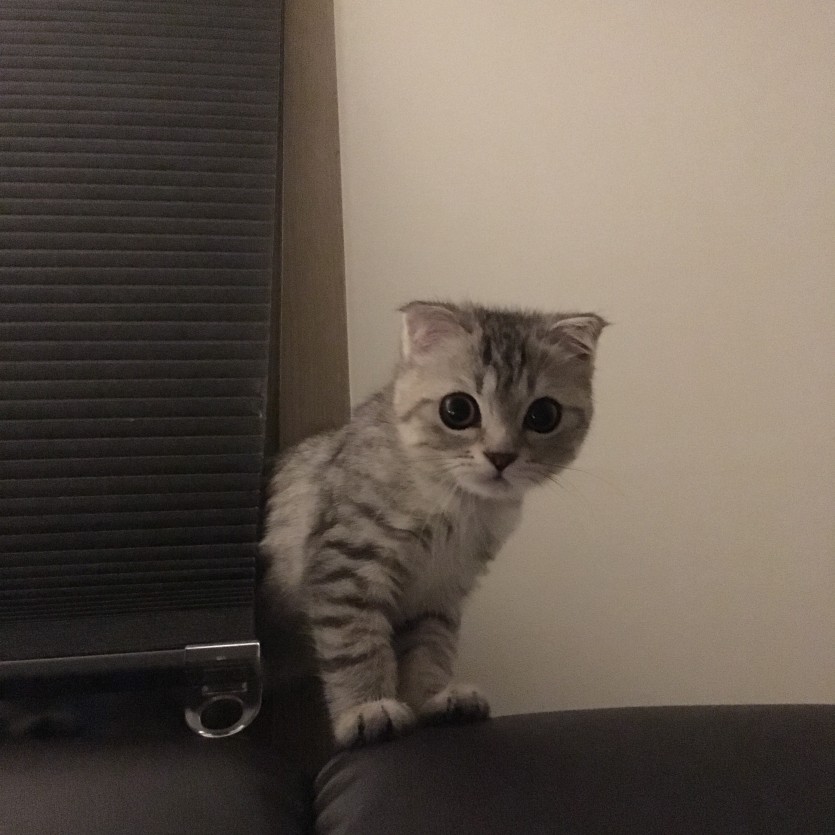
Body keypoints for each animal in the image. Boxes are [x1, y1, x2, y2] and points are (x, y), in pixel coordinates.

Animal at [260, 301, 606, 748]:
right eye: (457, 410)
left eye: (543, 415)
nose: (501, 456)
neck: (457, 508)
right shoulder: (347, 565)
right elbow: (357, 645)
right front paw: (366, 707)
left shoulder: (439, 591)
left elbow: (430, 651)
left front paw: (433, 698)